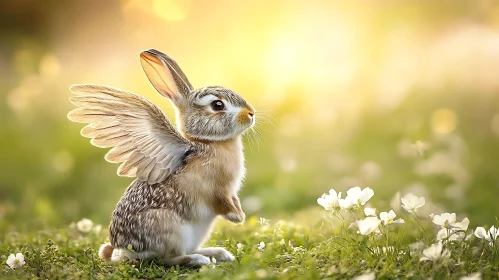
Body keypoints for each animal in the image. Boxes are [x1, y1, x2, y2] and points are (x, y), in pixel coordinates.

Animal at [66, 48, 256, 266]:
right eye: (217, 105)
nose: (251, 113)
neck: (210, 143)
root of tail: (126, 249)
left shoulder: (230, 191)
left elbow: (233, 199)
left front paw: (240, 214)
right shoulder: (216, 189)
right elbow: (221, 201)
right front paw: (237, 217)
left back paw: (218, 253)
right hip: (169, 227)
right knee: (168, 258)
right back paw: (198, 259)